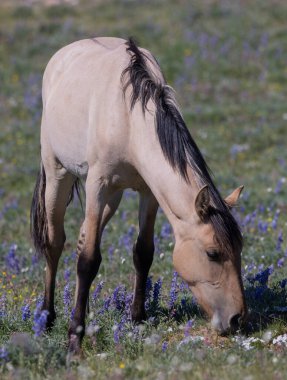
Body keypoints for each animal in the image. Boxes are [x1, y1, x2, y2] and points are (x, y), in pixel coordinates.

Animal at [31, 36, 248, 354]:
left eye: (240, 248)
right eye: (213, 253)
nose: (236, 319)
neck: (128, 118)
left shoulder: (148, 192)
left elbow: (143, 252)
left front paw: (137, 318)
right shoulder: (97, 185)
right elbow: (88, 261)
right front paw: (74, 338)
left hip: (113, 198)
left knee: (83, 236)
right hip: (58, 173)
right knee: (54, 243)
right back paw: (47, 317)